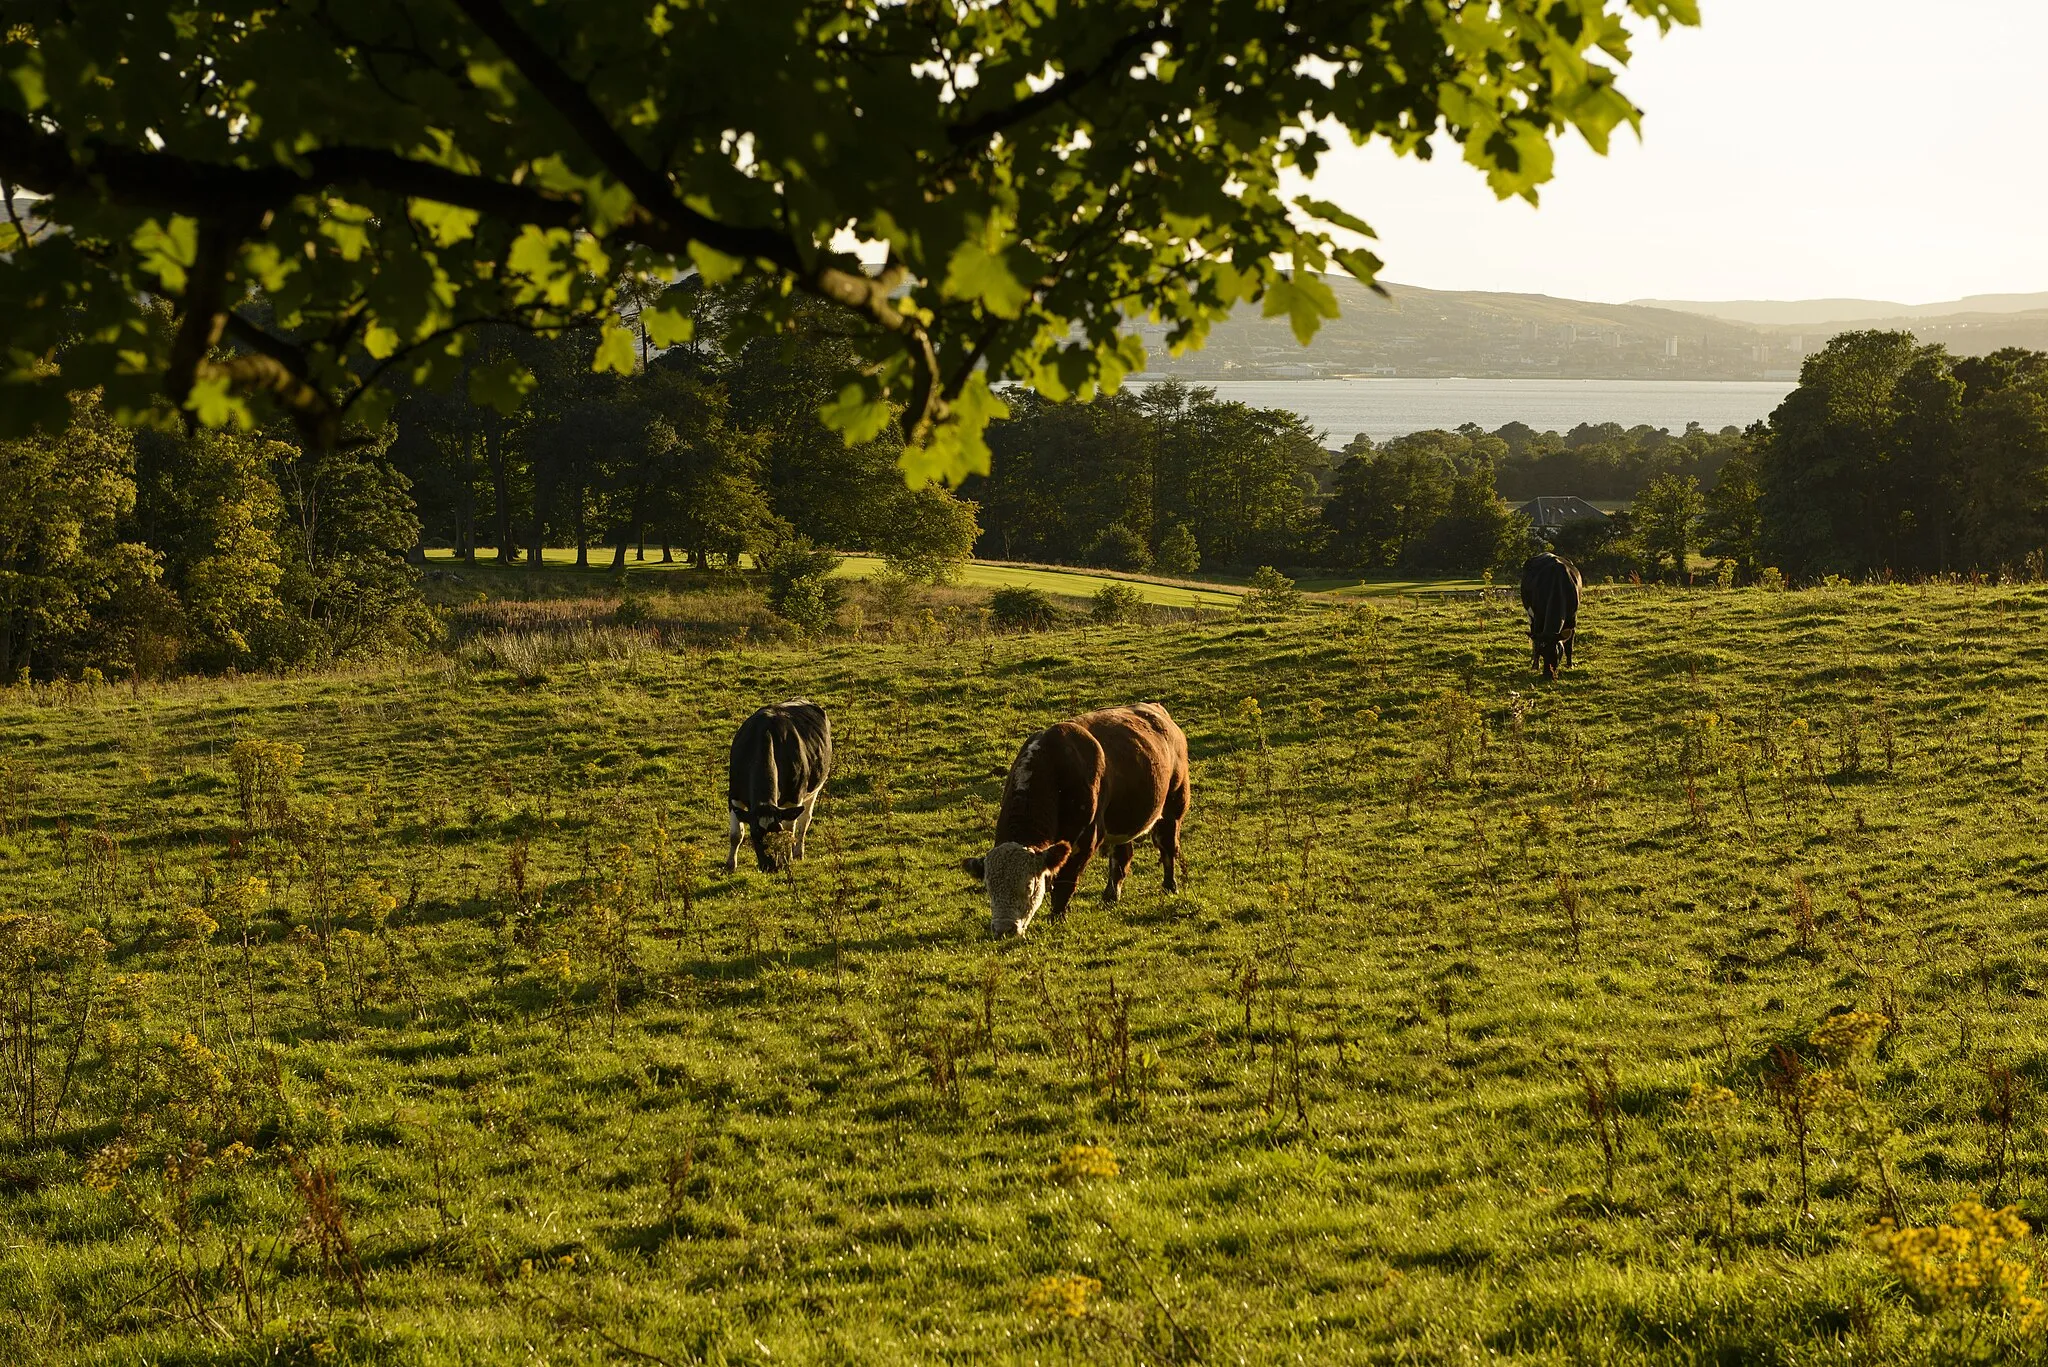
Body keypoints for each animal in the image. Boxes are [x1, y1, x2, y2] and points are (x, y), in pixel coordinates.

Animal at [729, 705, 831, 877]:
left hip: (814, 789)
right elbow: (736, 835)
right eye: (755, 835)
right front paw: (730, 865)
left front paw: (786, 859)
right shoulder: (734, 795)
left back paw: (797, 853)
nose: (770, 867)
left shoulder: (794, 798)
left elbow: (789, 832)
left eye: (777, 832)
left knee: (803, 821)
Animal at [962, 705, 1196, 942]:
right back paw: (1110, 896)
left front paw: (1057, 918)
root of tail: (1156, 709)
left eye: (1029, 887)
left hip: (1174, 805)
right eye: (988, 888)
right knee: (1122, 856)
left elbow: (1065, 882)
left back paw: (1169, 886)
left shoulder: (1085, 838)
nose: (1004, 929)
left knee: (1167, 847)